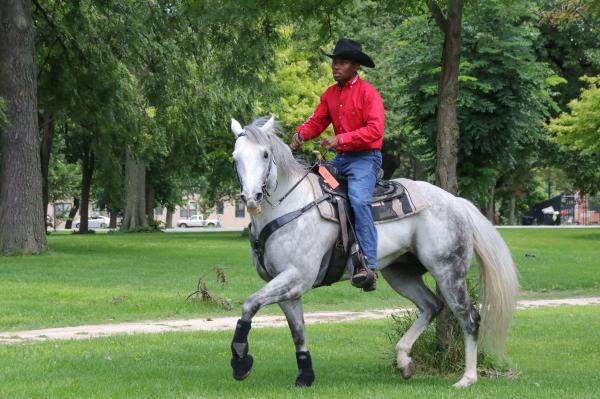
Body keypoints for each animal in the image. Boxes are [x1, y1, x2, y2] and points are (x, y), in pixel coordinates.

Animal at [227, 115, 516, 388]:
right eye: (235, 158)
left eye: (265, 154)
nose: (251, 198)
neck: (293, 205)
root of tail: (456, 202)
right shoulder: (287, 286)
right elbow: (298, 331)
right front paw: (305, 375)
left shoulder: (298, 277)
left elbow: (249, 304)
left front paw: (240, 360)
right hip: (401, 273)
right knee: (431, 306)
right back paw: (404, 361)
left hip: (448, 272)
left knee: (469, 318)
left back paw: (467, 378)